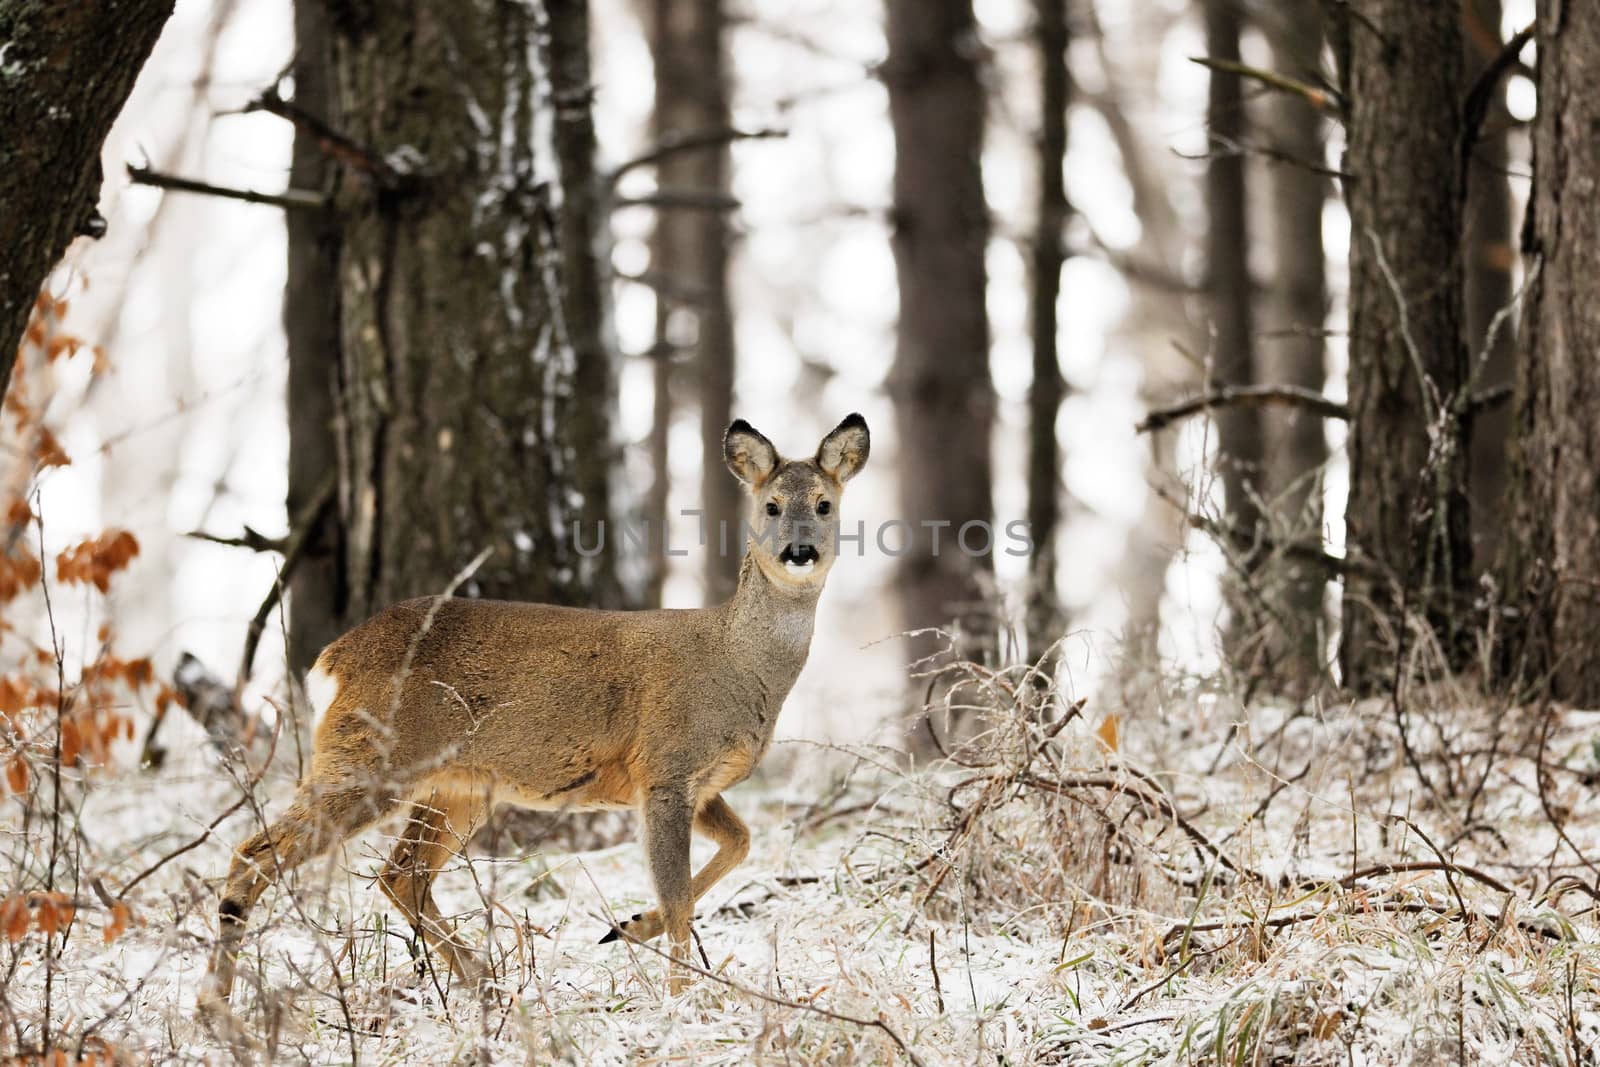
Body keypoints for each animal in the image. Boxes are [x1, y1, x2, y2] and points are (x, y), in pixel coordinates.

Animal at [201, 415, 876, 1004]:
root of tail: (333, 659)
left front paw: (629, 926)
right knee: (254, 854)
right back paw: (217, 1004)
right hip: (369, 761)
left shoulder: (699, 785)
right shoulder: (665, 766)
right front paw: (682, 999)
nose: (798, 551)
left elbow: (740, 843)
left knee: (402, 875)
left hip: (457, 785)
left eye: (824, 505)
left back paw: (485, 983)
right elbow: (682, 895)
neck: (738, 665)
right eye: (771, 506)